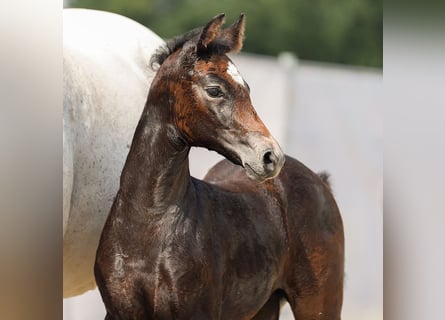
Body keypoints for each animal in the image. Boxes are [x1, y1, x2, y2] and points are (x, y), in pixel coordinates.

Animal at [94, 13, 344, 318]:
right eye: (215, 90)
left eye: (247, 89)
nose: (271, 157)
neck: (149, 221)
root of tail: (319, 181)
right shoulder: (117, 311)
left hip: (318, 303)